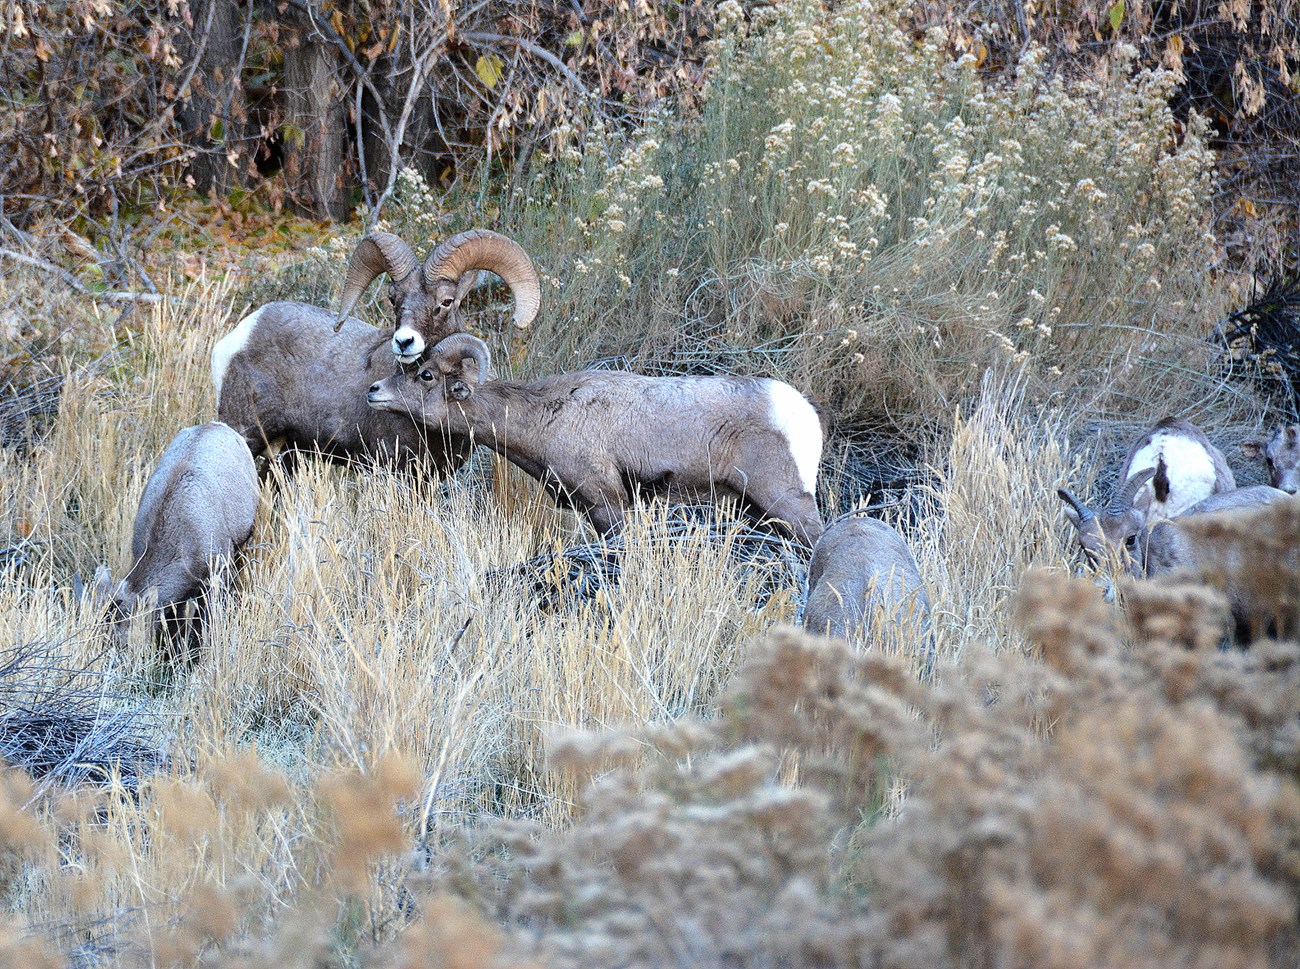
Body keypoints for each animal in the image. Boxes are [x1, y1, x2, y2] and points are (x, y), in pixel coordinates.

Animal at [364, 332, 821, 543]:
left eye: (426, 375)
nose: (374, 391)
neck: (547, 415)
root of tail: (801, 414)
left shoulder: (608, 505)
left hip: (786, 503)